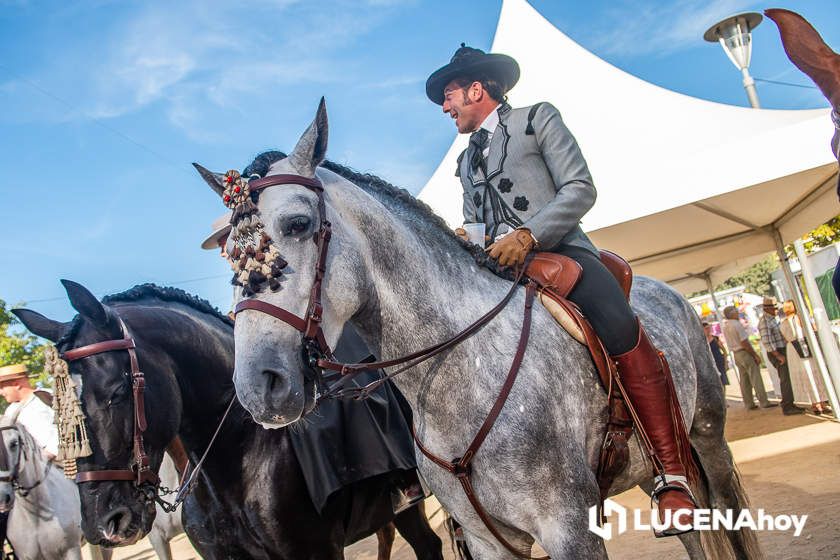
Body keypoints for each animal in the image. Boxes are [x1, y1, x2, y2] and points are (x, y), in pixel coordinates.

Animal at [200, 101, 764, 560]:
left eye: (297, 225)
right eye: (229, 255)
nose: (259, 387)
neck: (458, 373)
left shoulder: (569, 529)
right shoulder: (487, 539)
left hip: (707, 439)